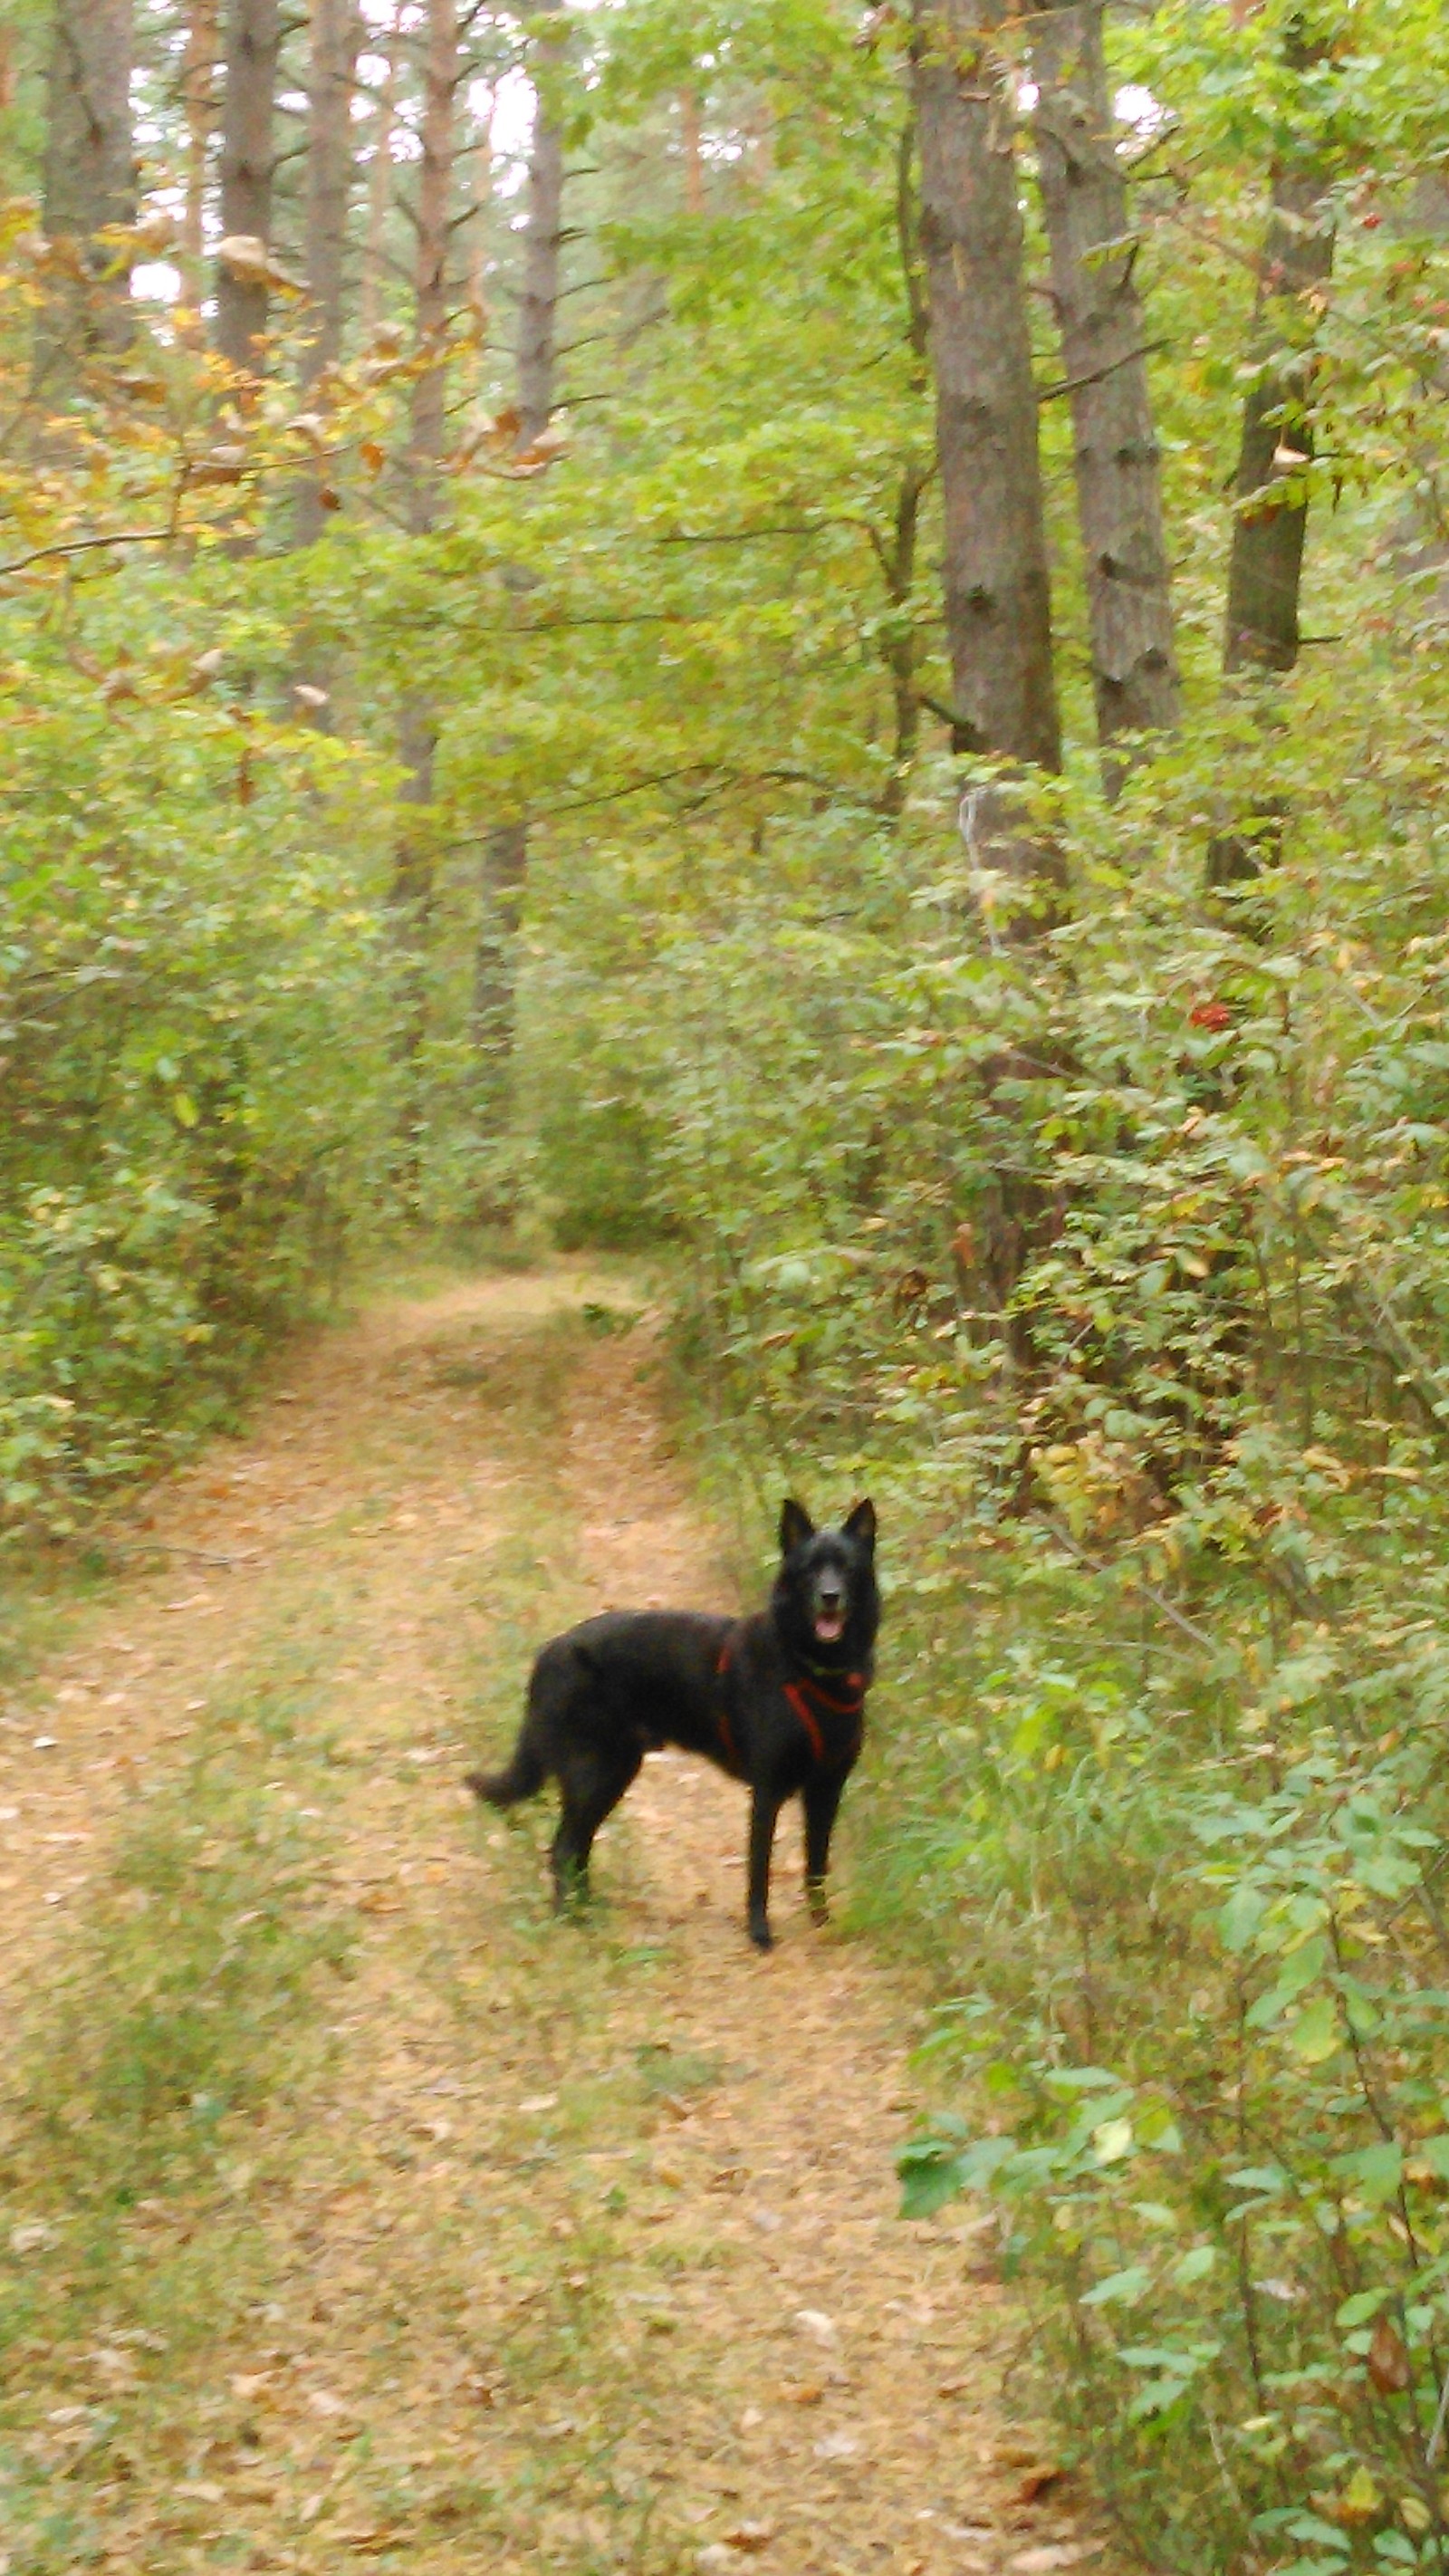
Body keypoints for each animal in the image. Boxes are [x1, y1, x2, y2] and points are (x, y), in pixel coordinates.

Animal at [471, 1494, 879, 1947]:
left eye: (847, 1567)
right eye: (810, 1568)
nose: (830, 1596)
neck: (811, 1669)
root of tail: (550, 1651)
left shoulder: (827, 1789)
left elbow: (817, 1866)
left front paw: (822, 1921)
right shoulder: (767, 1791)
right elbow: (759, 1870)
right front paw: (759, 1933)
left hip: (614, 1773)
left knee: (580, 1846)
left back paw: (587, 1909)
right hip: (592, 1773)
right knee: (563, 1848)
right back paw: (570, 1921)